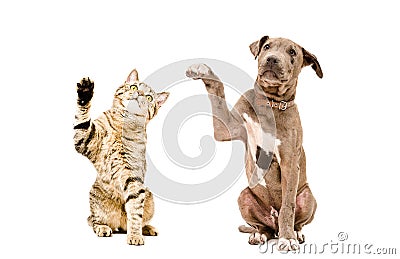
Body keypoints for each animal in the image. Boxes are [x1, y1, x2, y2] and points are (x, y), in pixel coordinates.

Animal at [73, 68, 169, 246]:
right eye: (133, 87)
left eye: (149, 97)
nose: (139, 93)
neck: (122, 124)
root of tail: (119, 222)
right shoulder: (84, 140)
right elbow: (82, 120)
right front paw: (85, 93)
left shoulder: (133, 178)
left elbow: (135, 212)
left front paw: (135, 235)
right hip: (96, 203)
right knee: (93, 220)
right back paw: (102, 227)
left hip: (149, 199)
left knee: (134, 220)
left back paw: (146, 228)